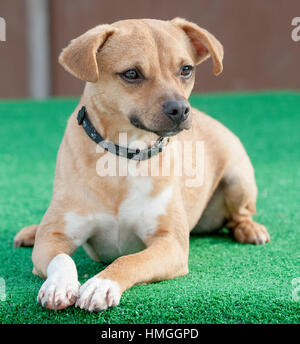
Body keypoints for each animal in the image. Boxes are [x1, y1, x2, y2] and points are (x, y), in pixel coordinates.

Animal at [13, 17, 270, 312]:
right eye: (131, 74)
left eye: (186, 69)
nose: (180, 110)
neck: (123, 156)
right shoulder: (53, 238)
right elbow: (62, 258)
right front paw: (59, 284)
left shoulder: (169, 243)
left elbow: (130, 259)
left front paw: (102, 283)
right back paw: (31, 232)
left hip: (239, 179)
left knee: (240, 214)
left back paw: (250, 229)